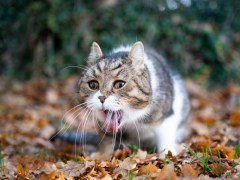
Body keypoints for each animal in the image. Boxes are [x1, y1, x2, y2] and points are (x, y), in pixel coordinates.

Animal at [55, 41, 190, 155]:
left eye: (119, 84)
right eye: (93, 85)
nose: (102, 98)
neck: (132, 120)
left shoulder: (167, 117)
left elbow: (165, 140)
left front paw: (167, 156)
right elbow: (106, 139)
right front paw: (101, 156)